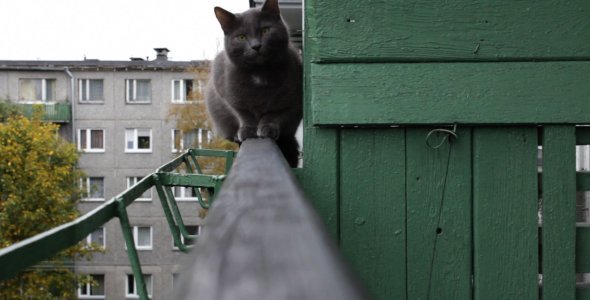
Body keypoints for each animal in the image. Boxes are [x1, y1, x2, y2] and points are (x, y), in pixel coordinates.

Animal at [206, 0, 302, 169]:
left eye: (265, 30)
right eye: (242, 37)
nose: (256, 46)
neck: (259, 73)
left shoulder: (289, 99)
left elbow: (274, 113)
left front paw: (267, 128)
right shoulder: (226, 94)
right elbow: (243, 113)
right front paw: (248, 130)